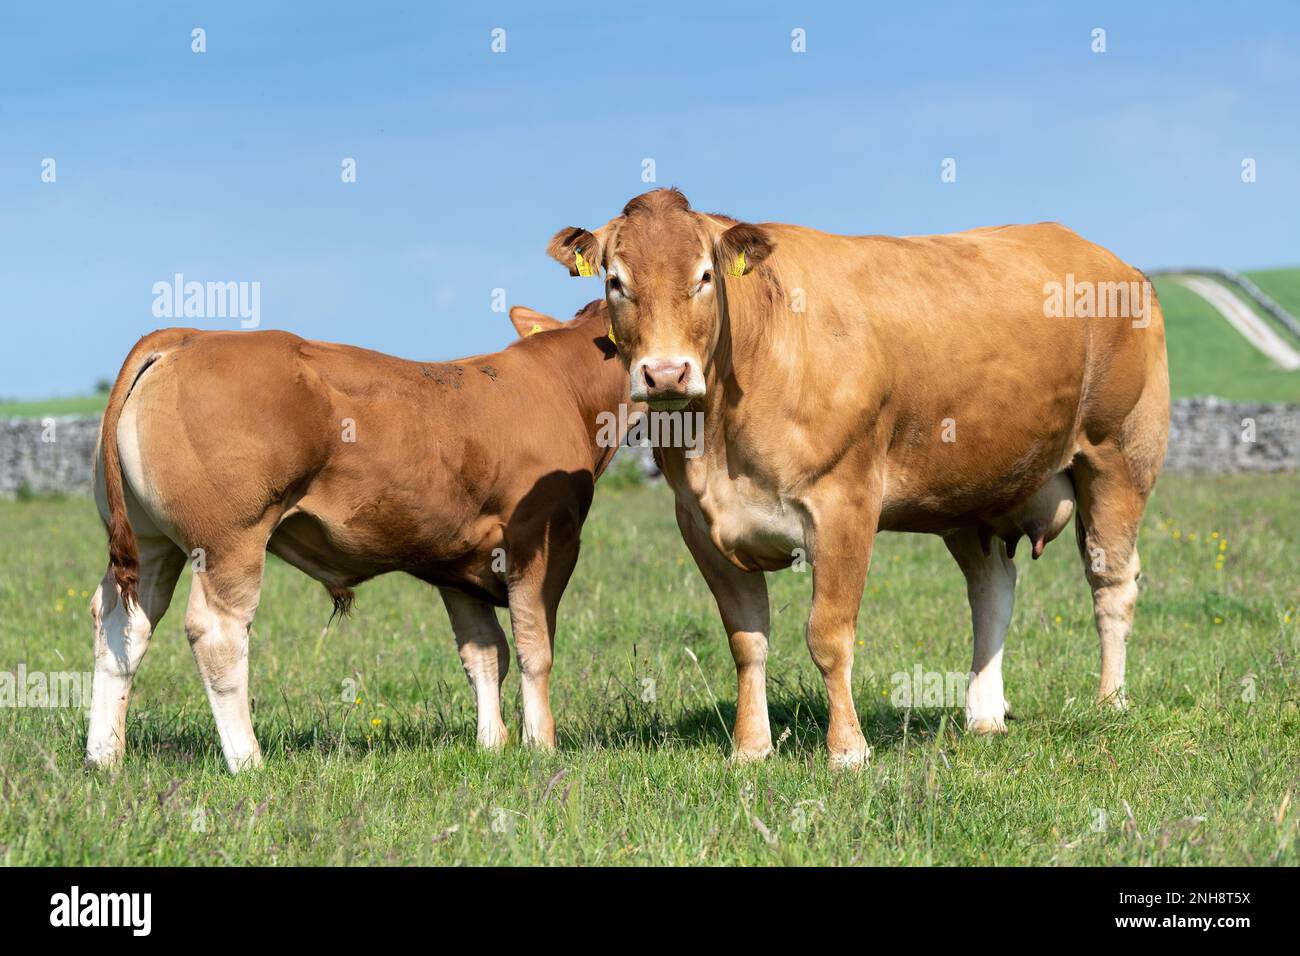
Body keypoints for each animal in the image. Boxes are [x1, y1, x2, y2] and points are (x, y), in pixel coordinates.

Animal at [86, 300, 625, 772]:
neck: (562, 386)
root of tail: (190, 336)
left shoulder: (459, 561)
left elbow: (486, 653)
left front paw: (492, 745)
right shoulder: (546, 541)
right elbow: (535, 648)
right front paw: (541, 746)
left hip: (151, 544)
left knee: (122, 624)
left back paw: (103, 758)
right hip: (228, 542)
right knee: (217, 635)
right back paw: (248, 762)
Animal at [548, 188, 1169, 768]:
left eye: (704, 276)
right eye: (614, 281)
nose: (665, 374)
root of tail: (1106, 257)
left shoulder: (843, 504)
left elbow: (828, 636)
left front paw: (847, 749)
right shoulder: (701, 524)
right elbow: (747, 641)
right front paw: (751, 747)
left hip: (1119, 457)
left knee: (1112, 581)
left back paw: (1110, 702)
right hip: (974, 496)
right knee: (992, 588)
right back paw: (984, 714)